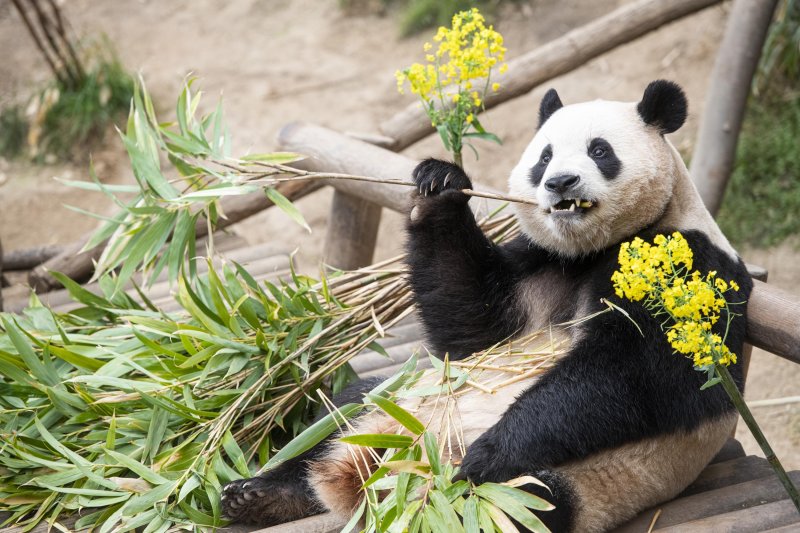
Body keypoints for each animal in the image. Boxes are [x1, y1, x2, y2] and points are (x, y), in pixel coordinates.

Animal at [222, 80, 752, 532]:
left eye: (600, 151)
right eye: (544, 156)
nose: (560, 182)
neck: (590, 250)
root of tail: (376, 470)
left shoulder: (682, 267)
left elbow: (627, 374)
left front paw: (486, 454)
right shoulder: (541, 262)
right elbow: (473, 325)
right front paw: (438, 184)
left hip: (572, 485)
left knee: (518, 503)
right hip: (400, 395)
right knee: (338, 414)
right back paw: (259, 494)